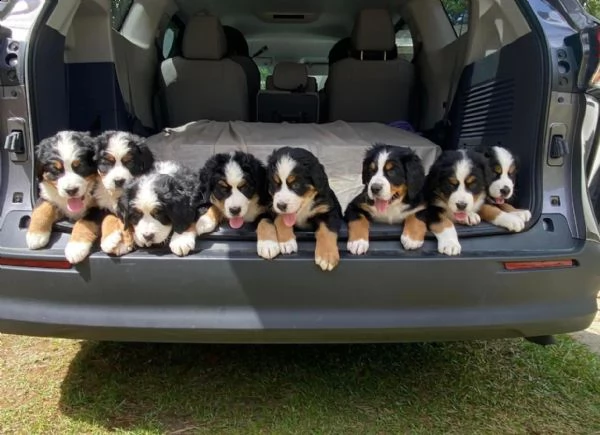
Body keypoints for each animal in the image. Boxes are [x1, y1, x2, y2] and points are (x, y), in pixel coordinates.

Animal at [27, 131, 101, 264]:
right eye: (56, 170)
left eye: (80, 167)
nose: (71, 190)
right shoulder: (46, 195)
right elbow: (41, 209)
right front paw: (36, 235)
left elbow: (85, 222)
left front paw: (76, 247)